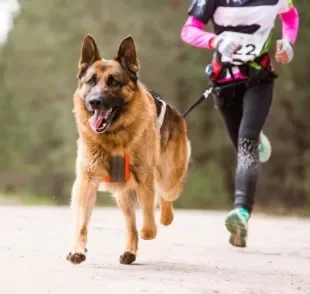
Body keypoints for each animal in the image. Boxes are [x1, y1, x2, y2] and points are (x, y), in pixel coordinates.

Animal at [66, 34, 190, 264]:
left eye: (114, 82)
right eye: (91, 81)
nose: (95, 101)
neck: (114, 138)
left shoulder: (145, 178)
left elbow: (148, 224)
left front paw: (149, 230)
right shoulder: (86, 180)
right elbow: (81, 224)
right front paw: (78, 250)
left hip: (169, 179)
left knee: (165, 198)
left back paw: (165, 218)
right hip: (123, 195)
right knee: (130, 225)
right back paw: (130, 251)